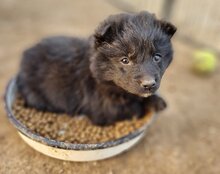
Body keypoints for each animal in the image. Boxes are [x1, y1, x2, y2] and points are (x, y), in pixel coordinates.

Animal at [17, 11, 177, 125]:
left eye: (157, 57)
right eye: (125, 60)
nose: (149, 84)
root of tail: (26, 54)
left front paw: (157, 100)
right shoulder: (105, 109)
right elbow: (136, 109)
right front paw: (149, 105)